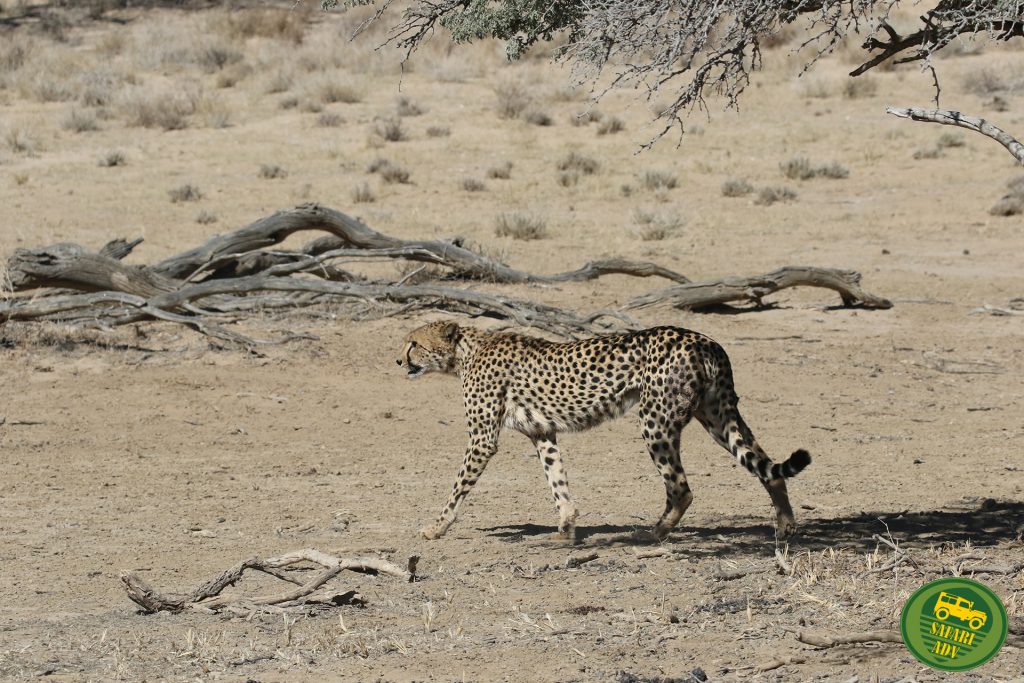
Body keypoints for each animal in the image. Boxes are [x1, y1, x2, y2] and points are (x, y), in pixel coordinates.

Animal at [395, 323, 811, 540]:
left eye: (414, 342)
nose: (398, 360)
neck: (466, 352)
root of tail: (707, 341)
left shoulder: (482, 440)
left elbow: (457, 487)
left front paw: (436, 527)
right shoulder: (542, 432)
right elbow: (557, 479)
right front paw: (566, 526)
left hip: (655, 420)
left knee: (682, 489)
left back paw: (650, 535)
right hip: (717, 416)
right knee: (768, 468)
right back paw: (786, 526)